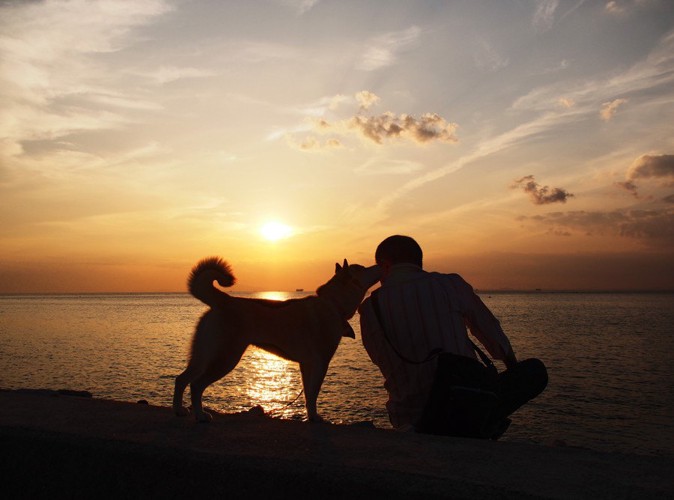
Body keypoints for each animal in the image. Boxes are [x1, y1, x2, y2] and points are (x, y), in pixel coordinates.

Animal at [171, 258, 380, 422]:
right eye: (363, 268)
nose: (378, 265)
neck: (333, 304)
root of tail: (224, 300)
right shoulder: (321, 363)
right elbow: (313, 394)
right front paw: (315, 418)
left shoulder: (306, 365)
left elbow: (308, 396)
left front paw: (310, 416)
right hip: (225, 359)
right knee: (196, 385)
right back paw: (200, 416)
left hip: (203, 357)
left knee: (181, 379)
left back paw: (179, 410)